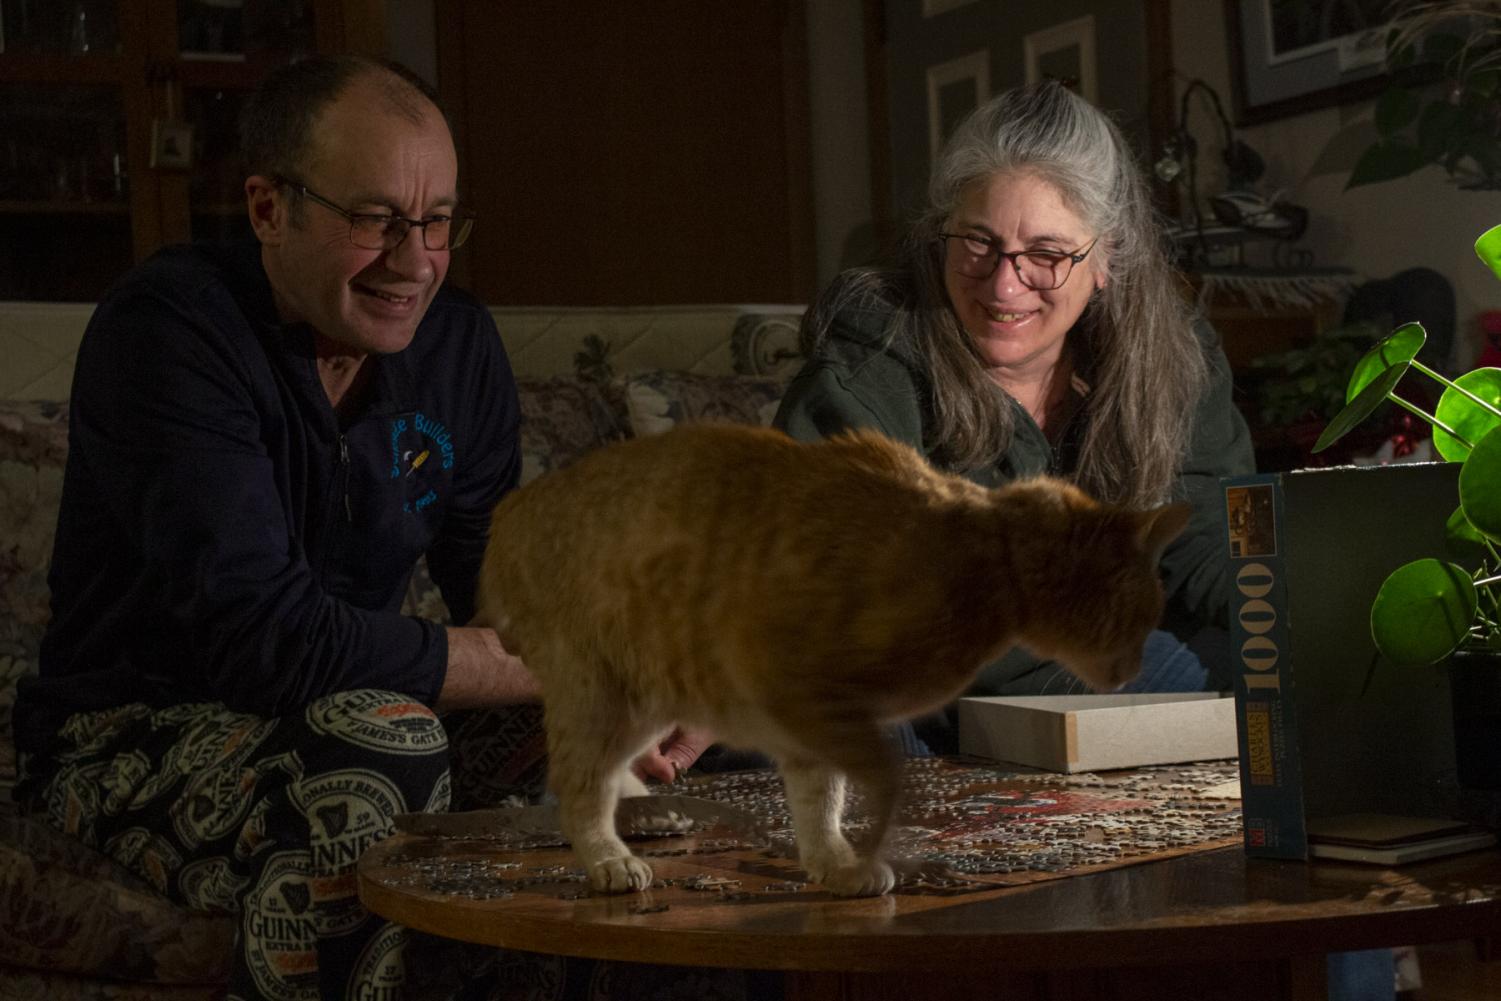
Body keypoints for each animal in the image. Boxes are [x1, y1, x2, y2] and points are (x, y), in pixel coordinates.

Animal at [474, 423, 1188, 900]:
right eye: (1146, 617)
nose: (1132, 670)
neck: (988, 553)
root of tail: (509, 508)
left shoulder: (815, 720)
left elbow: (822, 802)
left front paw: (836, 863)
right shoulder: (804, 693)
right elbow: (882, 781)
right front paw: (877, 850)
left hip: (647, 693)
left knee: (606, 773)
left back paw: (648, 811)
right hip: (598, 694)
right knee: (576, 787)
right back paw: (609, 858)